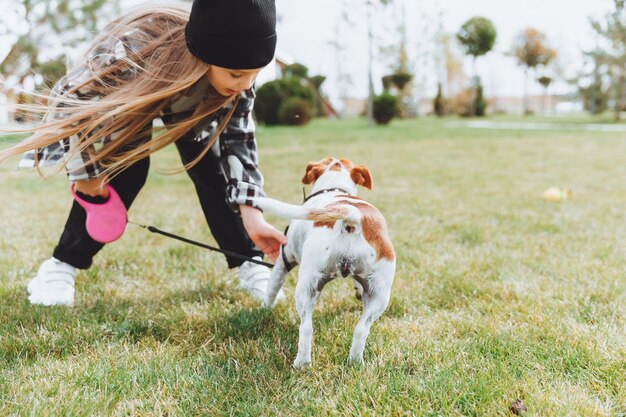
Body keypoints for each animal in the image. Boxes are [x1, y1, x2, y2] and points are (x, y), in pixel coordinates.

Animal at [250, 157, 392, 368]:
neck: (334, 186)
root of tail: (353, 217)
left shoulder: (284, 261)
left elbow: (271, 290)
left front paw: (263, 311)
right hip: (378, 296)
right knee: (361, 329)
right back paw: (355, 362)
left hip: (307, 287)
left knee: (306, 328)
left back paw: (301, 363)